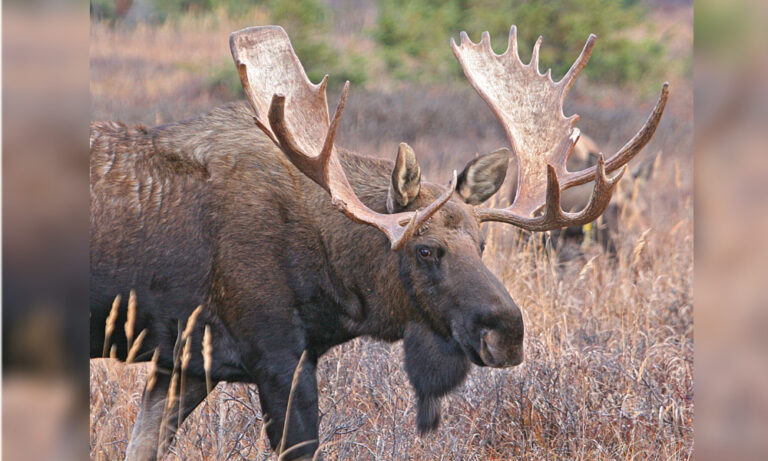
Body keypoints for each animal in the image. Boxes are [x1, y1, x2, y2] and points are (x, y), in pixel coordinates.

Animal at [90, 25, 668, 460]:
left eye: (482, 244)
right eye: (425, 249)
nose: (508, 332)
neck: (334, 284)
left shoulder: (184, 363)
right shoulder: (276, 355)